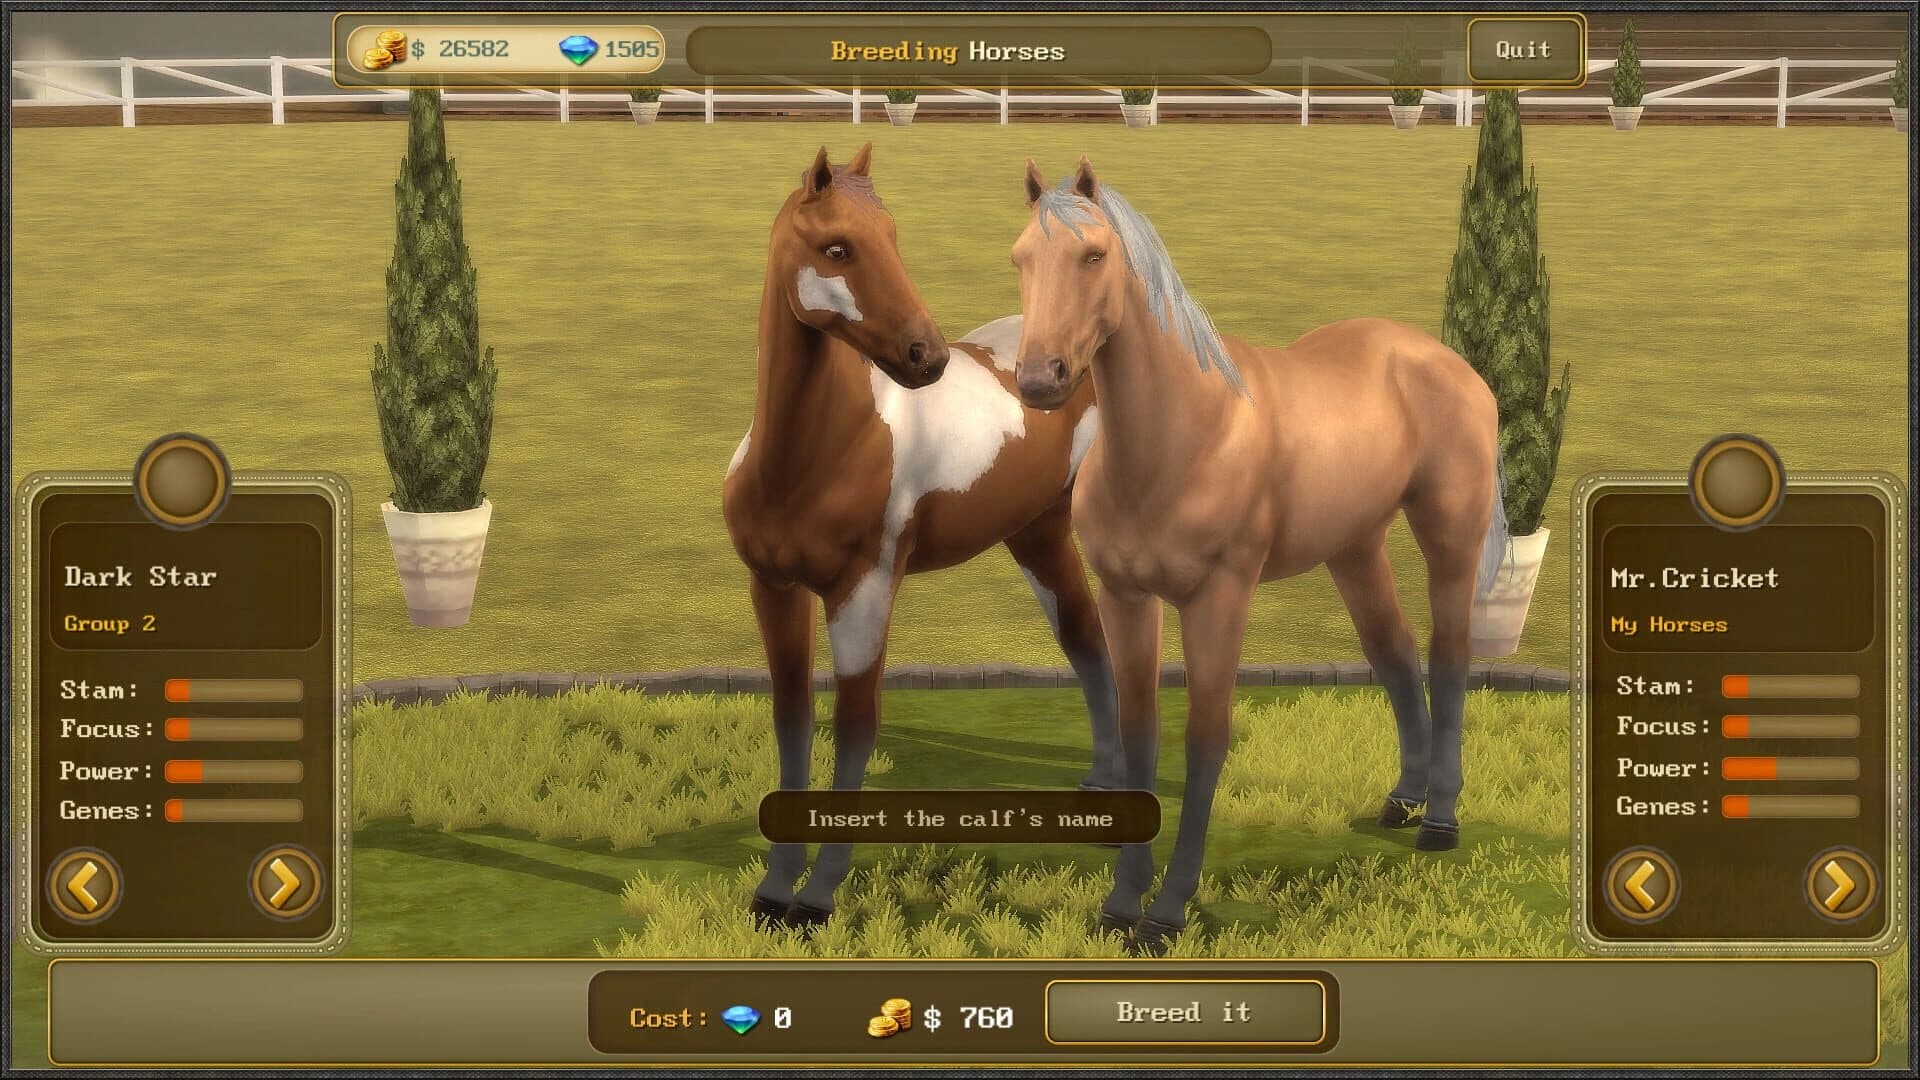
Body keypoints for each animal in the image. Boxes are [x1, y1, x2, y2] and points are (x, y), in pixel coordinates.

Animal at [722, 144, 1117, 928]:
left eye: (893, 236)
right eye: (836, 248)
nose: (924, 356)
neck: (815, 453)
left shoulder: (864, 590)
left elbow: (856, 724)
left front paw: (818, 895)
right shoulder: (773, 588)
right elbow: (792, 719)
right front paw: (774, 890)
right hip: (1037, 537)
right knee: (1085, 638)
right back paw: (1102, 784)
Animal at [1008, 157, 1508, 951]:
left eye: (1094, 256)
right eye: (1021, 259)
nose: (1038, 379)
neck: (1183, 436)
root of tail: (1447, 363)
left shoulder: (1219, 597)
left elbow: (1207, 738)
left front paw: (1167, 913)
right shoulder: (1126, 596)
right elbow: (1140, 732)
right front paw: (1120, 905)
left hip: (1448, 541)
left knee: (1450, 658)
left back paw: (1439, 820)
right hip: (1354, 549)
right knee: (1394, 652)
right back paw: (1401, 801)